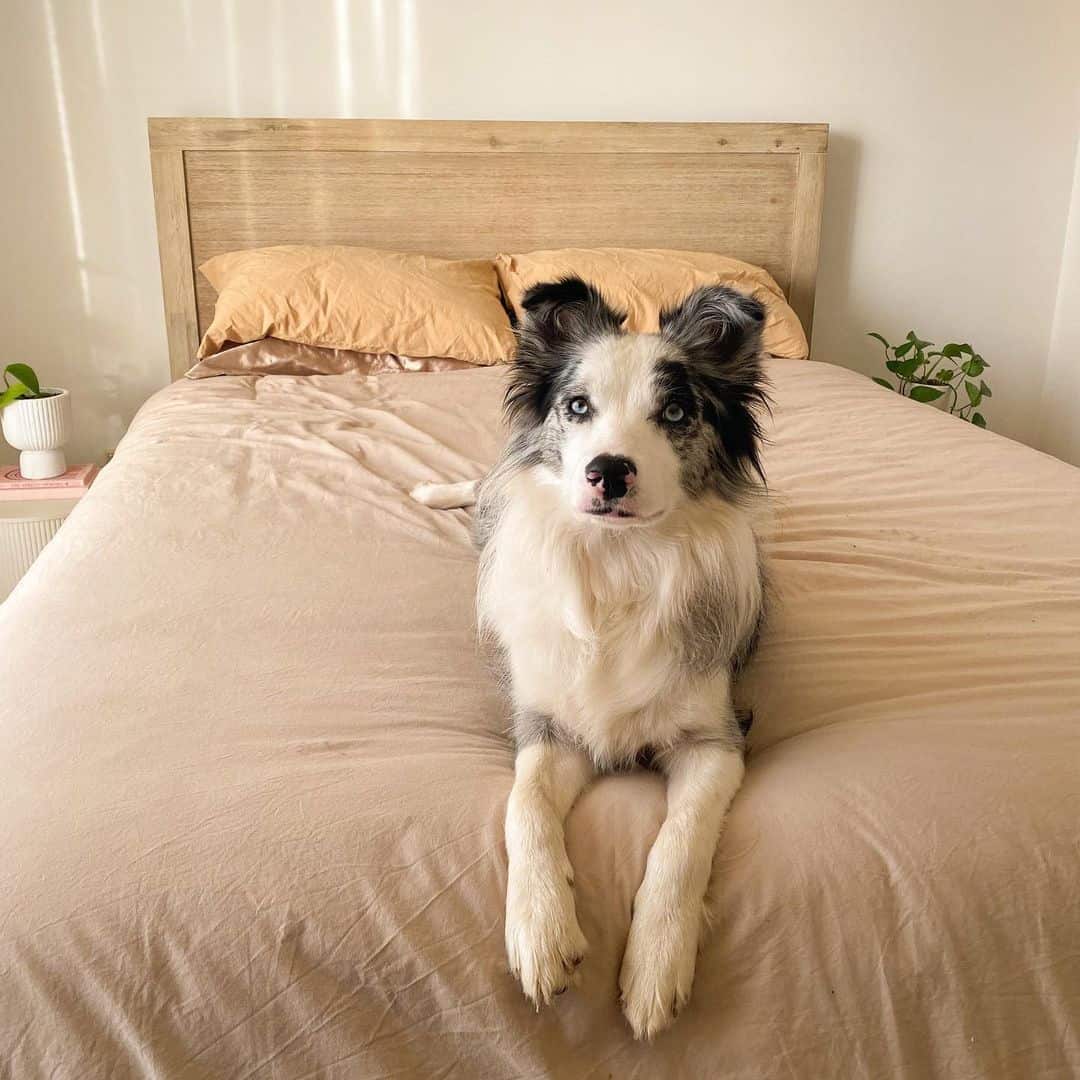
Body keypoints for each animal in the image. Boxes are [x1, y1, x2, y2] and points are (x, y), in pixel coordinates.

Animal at [410, 276, 768, 1036]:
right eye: (578, 407)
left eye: (675, 411)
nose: (609, 472)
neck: (619, 563)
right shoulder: (547, 724)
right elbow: (524, 805)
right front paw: (541, 932)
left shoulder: (717, 738)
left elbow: (681, 841)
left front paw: (656, 966)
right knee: (485, 487)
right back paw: (432, 491)